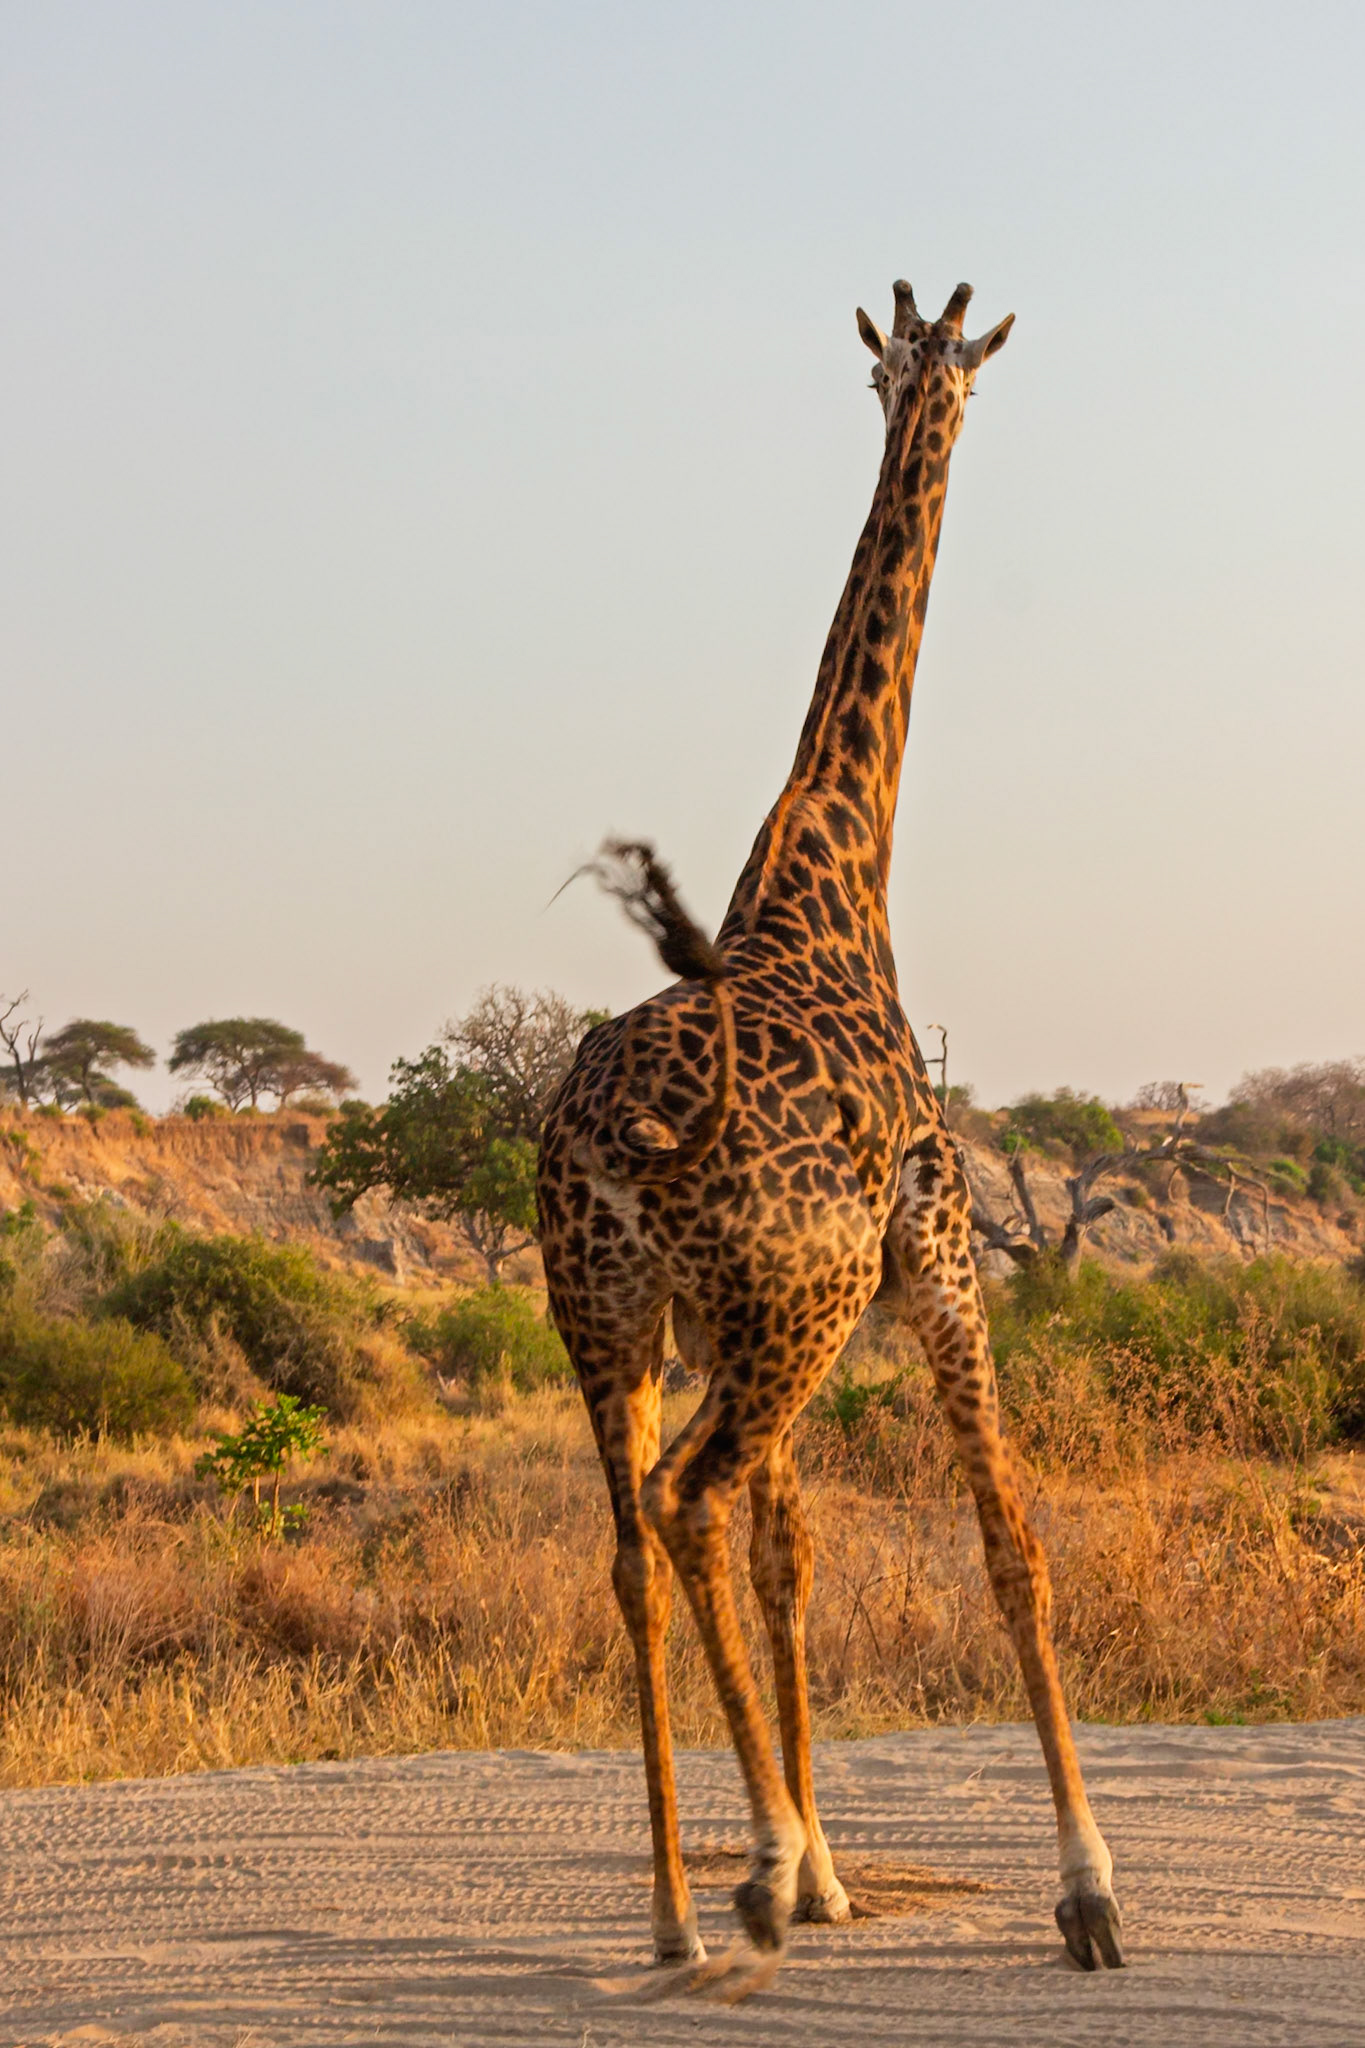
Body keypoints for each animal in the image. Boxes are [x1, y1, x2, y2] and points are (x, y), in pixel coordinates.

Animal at [536, 276, 1124, 1981]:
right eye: (945, 374)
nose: (922, 387)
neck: (833, 871)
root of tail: (611, 1139)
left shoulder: (760, 1316)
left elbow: (792, 1553)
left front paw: (825, 1878)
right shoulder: (934, 1254)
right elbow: (1011, 1542)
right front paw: (1087, 1894)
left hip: (613, 1317)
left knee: (635, 1545)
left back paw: (679, 1913)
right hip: (787, 1310)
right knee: (689, 1503)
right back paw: (749, 1877)